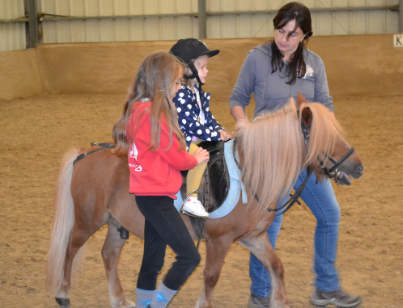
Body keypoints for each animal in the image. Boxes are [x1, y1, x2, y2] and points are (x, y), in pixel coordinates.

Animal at [46, 97, 362, 308]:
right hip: (88, 220)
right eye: (328, 138)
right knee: (70, 249)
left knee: (109, 255)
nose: (358, 167)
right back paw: (62, 293)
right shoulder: (218, 241)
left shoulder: (254, 238)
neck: (248, 175)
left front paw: (279, 301)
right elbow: (211, 277)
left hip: (115, 223)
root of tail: (86, 154)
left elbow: (276, 266)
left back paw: (120, 300)